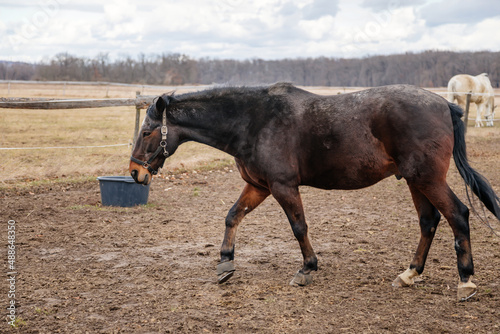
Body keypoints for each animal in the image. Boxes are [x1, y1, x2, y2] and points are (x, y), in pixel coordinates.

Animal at [130, 83, 500, 300]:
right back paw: (409, 274)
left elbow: (299, 227)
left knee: (457, 215)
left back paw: (466, 281)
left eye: (147, 132)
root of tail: (446, 105)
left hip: (428, 178)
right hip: (414, 180)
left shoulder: (283, 186)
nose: (135, 172)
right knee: (429, 221)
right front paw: (225, 263)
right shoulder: (259, 186)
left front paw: (307, 268)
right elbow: (232, 216)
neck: (253, 121)